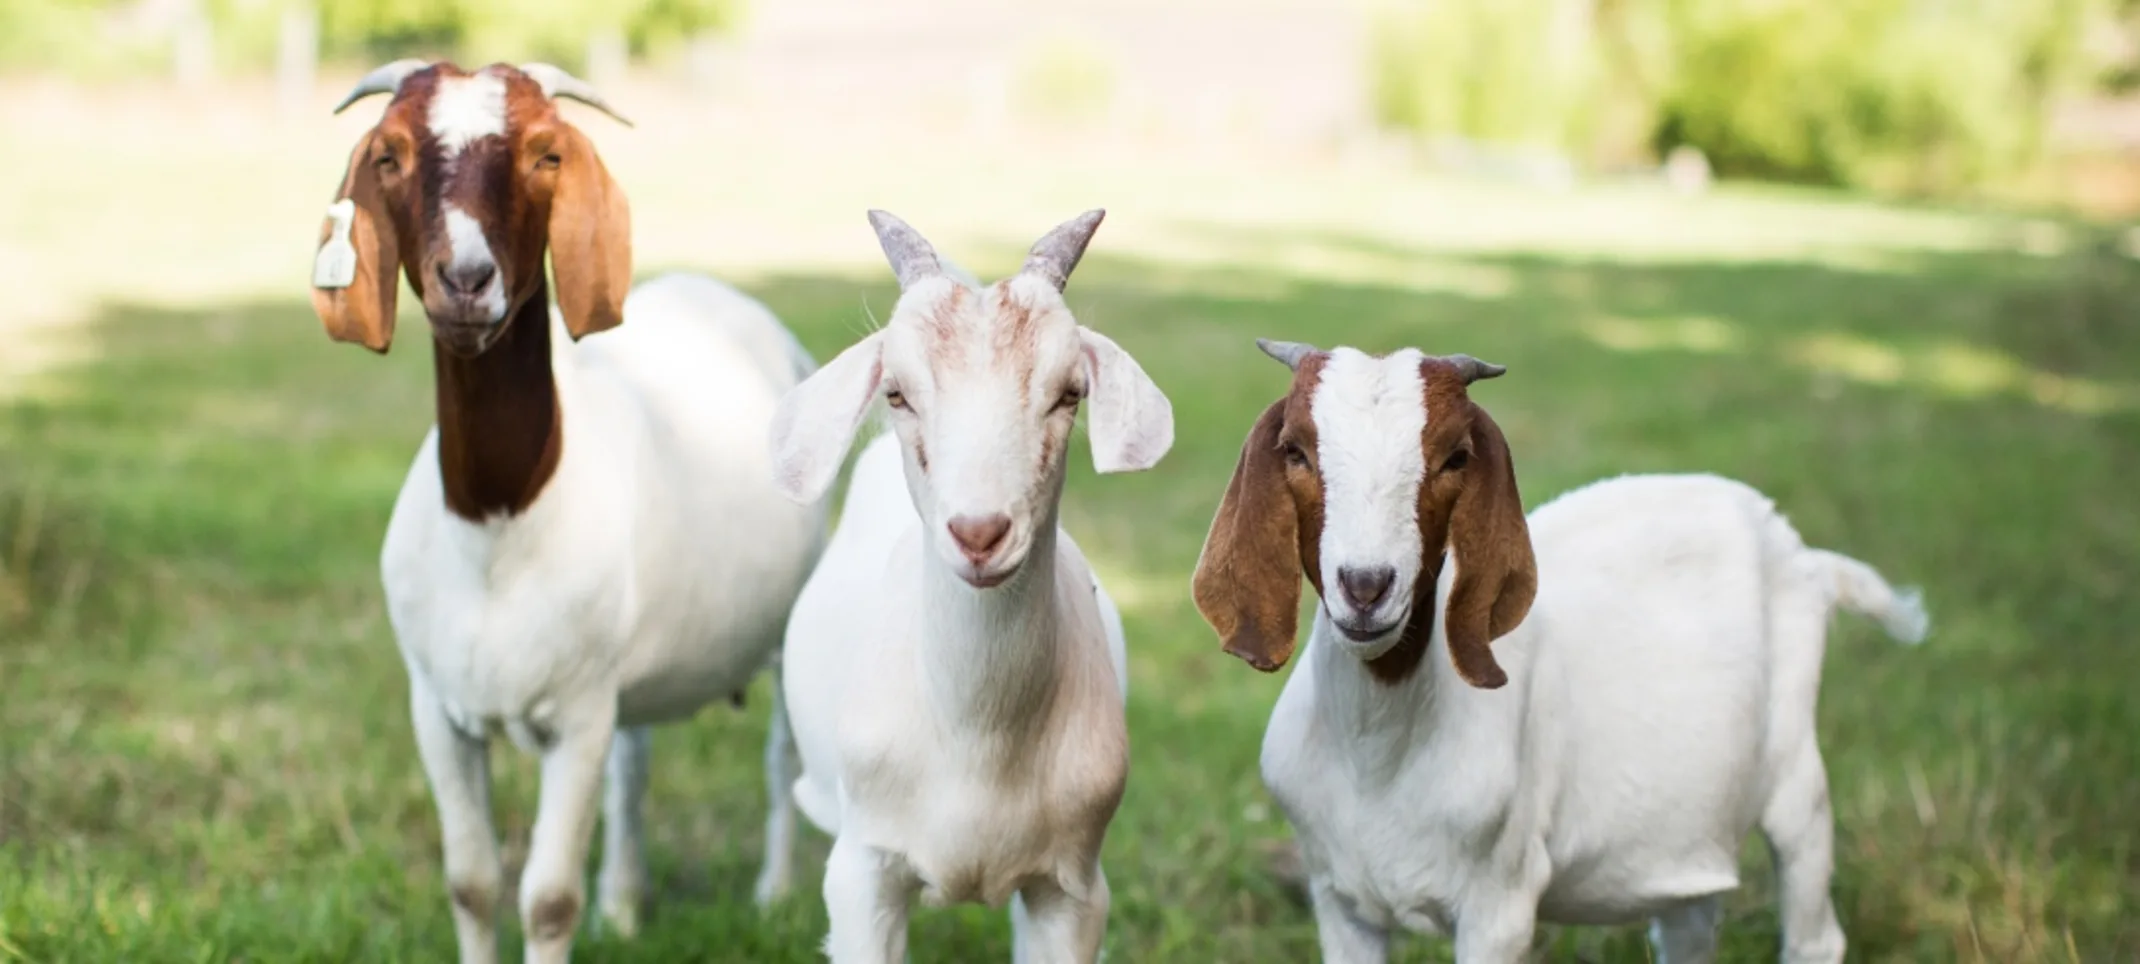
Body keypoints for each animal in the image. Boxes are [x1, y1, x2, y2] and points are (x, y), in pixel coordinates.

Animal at [309, 61, 825, 963]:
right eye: (390, 156)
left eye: (547, 154)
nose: (466, 279)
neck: (499, 525)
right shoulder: (437, 708)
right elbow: (473, 884)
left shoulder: (577, 719)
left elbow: (548, 900)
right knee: (635, 764)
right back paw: (625, 902)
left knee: (781, 756)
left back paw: (774, 896)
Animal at [767, 210, 1172, 963]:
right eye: (897, 392)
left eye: (1070, 393)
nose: (979, 533)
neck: (977, 740)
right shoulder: (862, 872)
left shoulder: (1074, 889)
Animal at [1193, 339, 1928, 964]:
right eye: (1295, 451)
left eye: (1455, 457)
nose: (1367, 585)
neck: (1378, 753)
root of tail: (1809, 560)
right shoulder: (1339, 900)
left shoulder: (1500, 903)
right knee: (1688, 926)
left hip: (1797, 774)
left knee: (1814, 926)